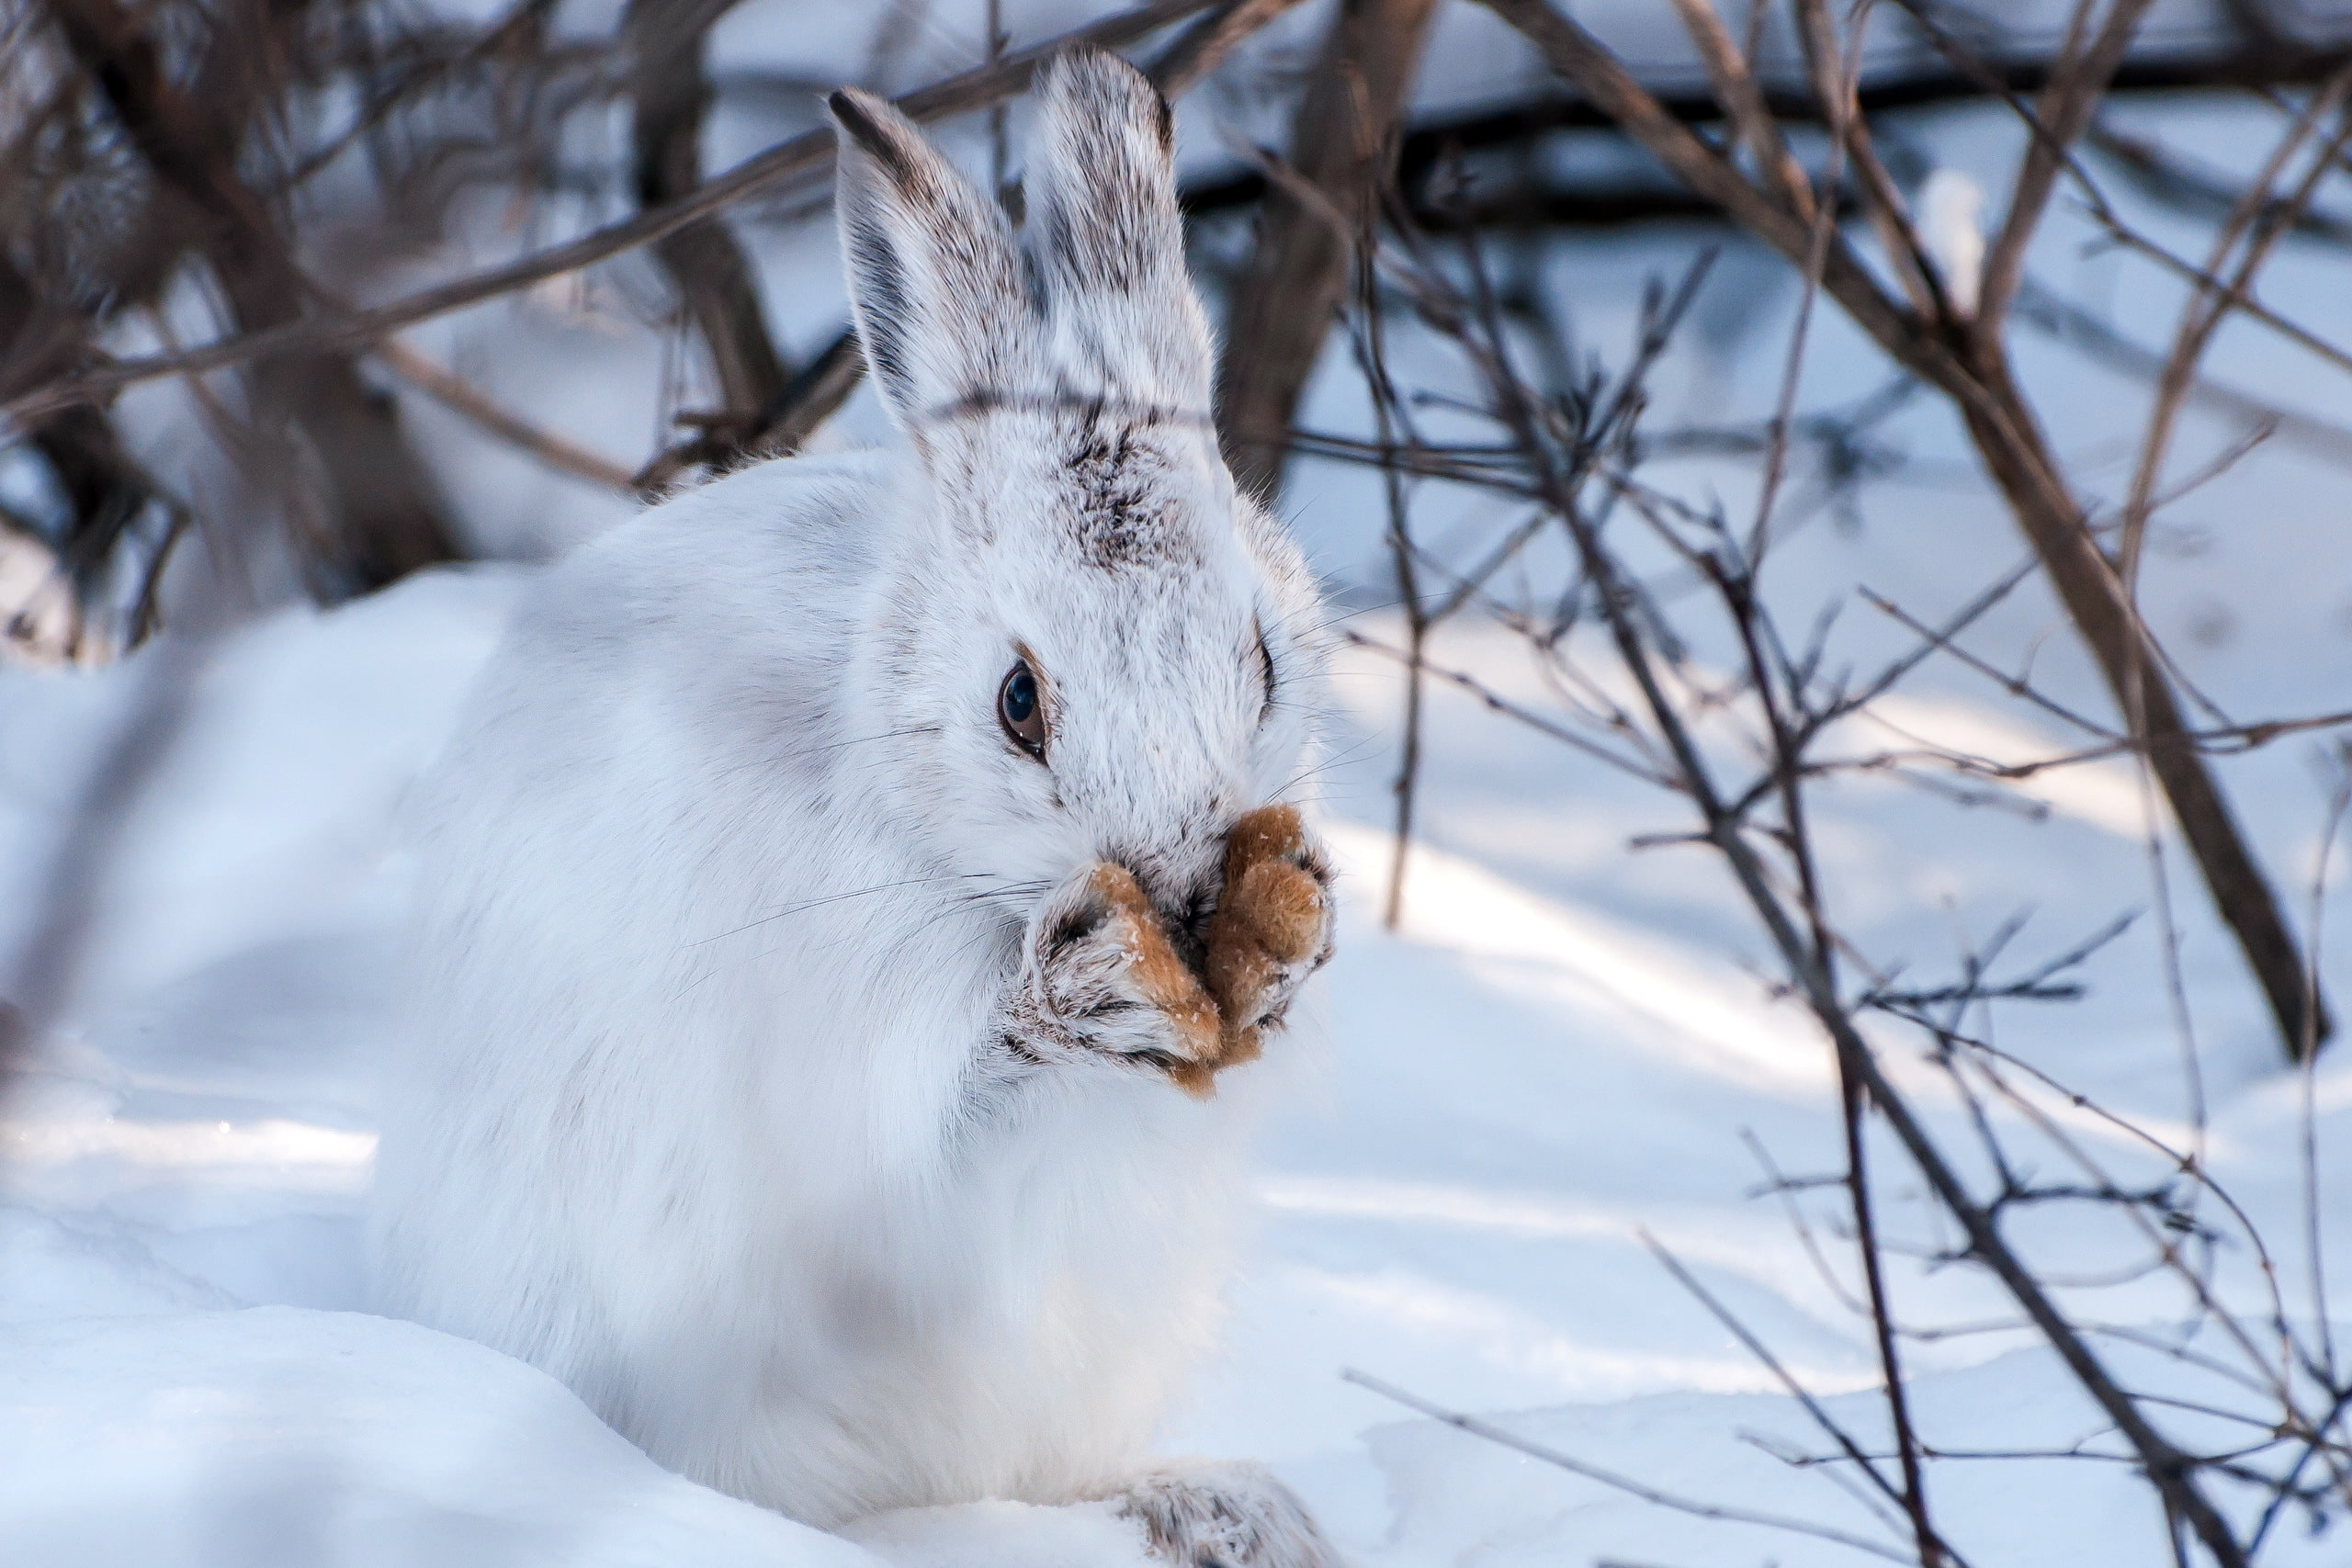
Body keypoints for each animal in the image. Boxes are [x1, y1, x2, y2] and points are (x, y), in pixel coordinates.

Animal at [369, 47, 1342, 1568]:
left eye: (1261, 662)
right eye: (1017, 700)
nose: (1185, 889)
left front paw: (1283, 952)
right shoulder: (860, 1080)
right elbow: (944, 1117)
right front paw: (1088, 996)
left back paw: (1216, 1507)